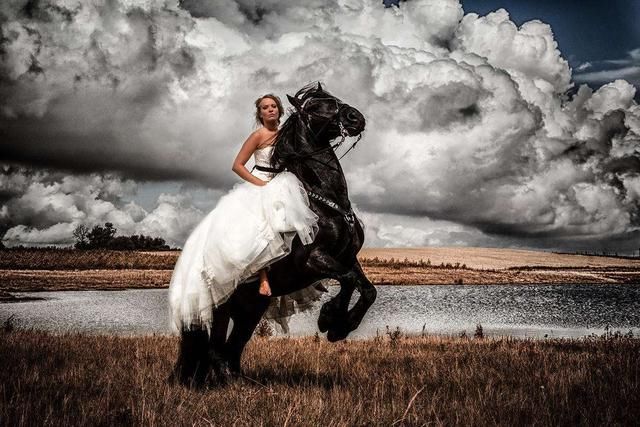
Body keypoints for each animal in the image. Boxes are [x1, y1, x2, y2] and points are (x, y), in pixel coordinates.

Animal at [172, 82, 378, 386]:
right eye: (314, 107)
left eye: (334, 98)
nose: (355, 117)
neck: (325, 202)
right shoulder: (314, 259)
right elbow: (350, 282)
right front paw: (330, 320)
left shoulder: (347, 258)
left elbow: (367, 289)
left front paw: (340, 325)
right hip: (222, 308)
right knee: (215, 349)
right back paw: (229, 384)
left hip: (251, 307)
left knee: (233, 347)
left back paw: (241, 382)